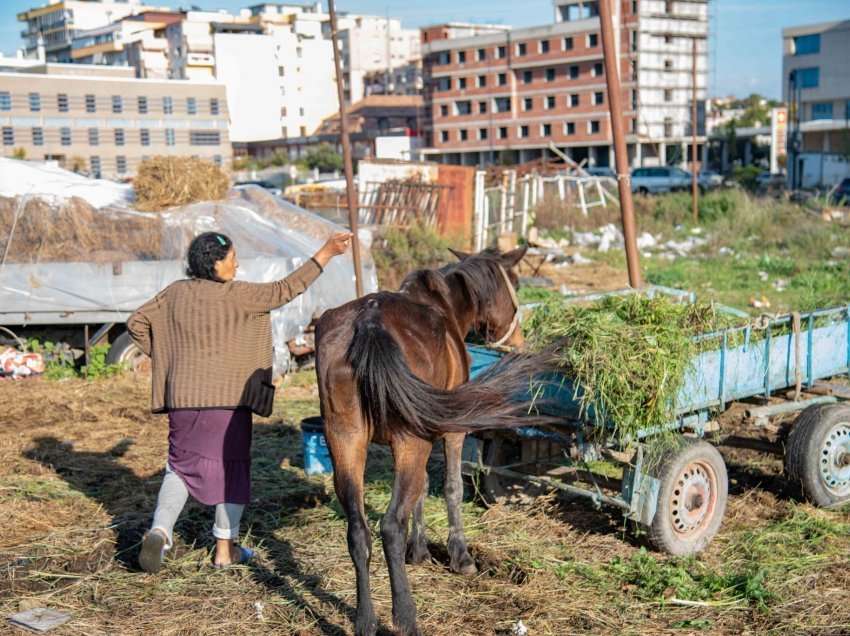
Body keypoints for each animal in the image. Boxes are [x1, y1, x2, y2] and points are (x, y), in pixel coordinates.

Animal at [314, 245, 548, 636]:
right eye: (513, 284)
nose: (519, 341)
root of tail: (369, 320)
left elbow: (421, 491)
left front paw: (420, 551)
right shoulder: (451, 432)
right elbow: (452, 488)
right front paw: (460, 557)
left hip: (345, 440)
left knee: (358, 531)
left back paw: (365, 620)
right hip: (409, 441)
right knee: (390, 526)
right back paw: (406, 617)